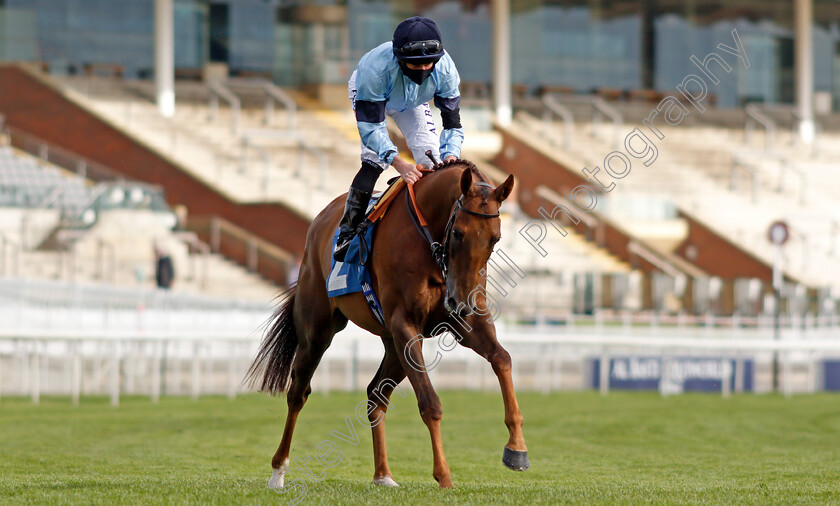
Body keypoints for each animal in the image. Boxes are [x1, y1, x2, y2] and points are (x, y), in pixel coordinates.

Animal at [246, 159, 528, 490]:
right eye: (458, 233)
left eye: (495, 238)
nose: (460, 302)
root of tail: (320, 221)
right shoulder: (406, 325)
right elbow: (430, 403)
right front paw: (443, 475)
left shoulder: (466, 320)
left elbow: (502, 359)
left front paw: (517, 448)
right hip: (316, 331)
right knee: (298, 393)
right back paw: (278, 471)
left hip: (393, 346)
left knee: (375, 395)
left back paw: (382, 474)